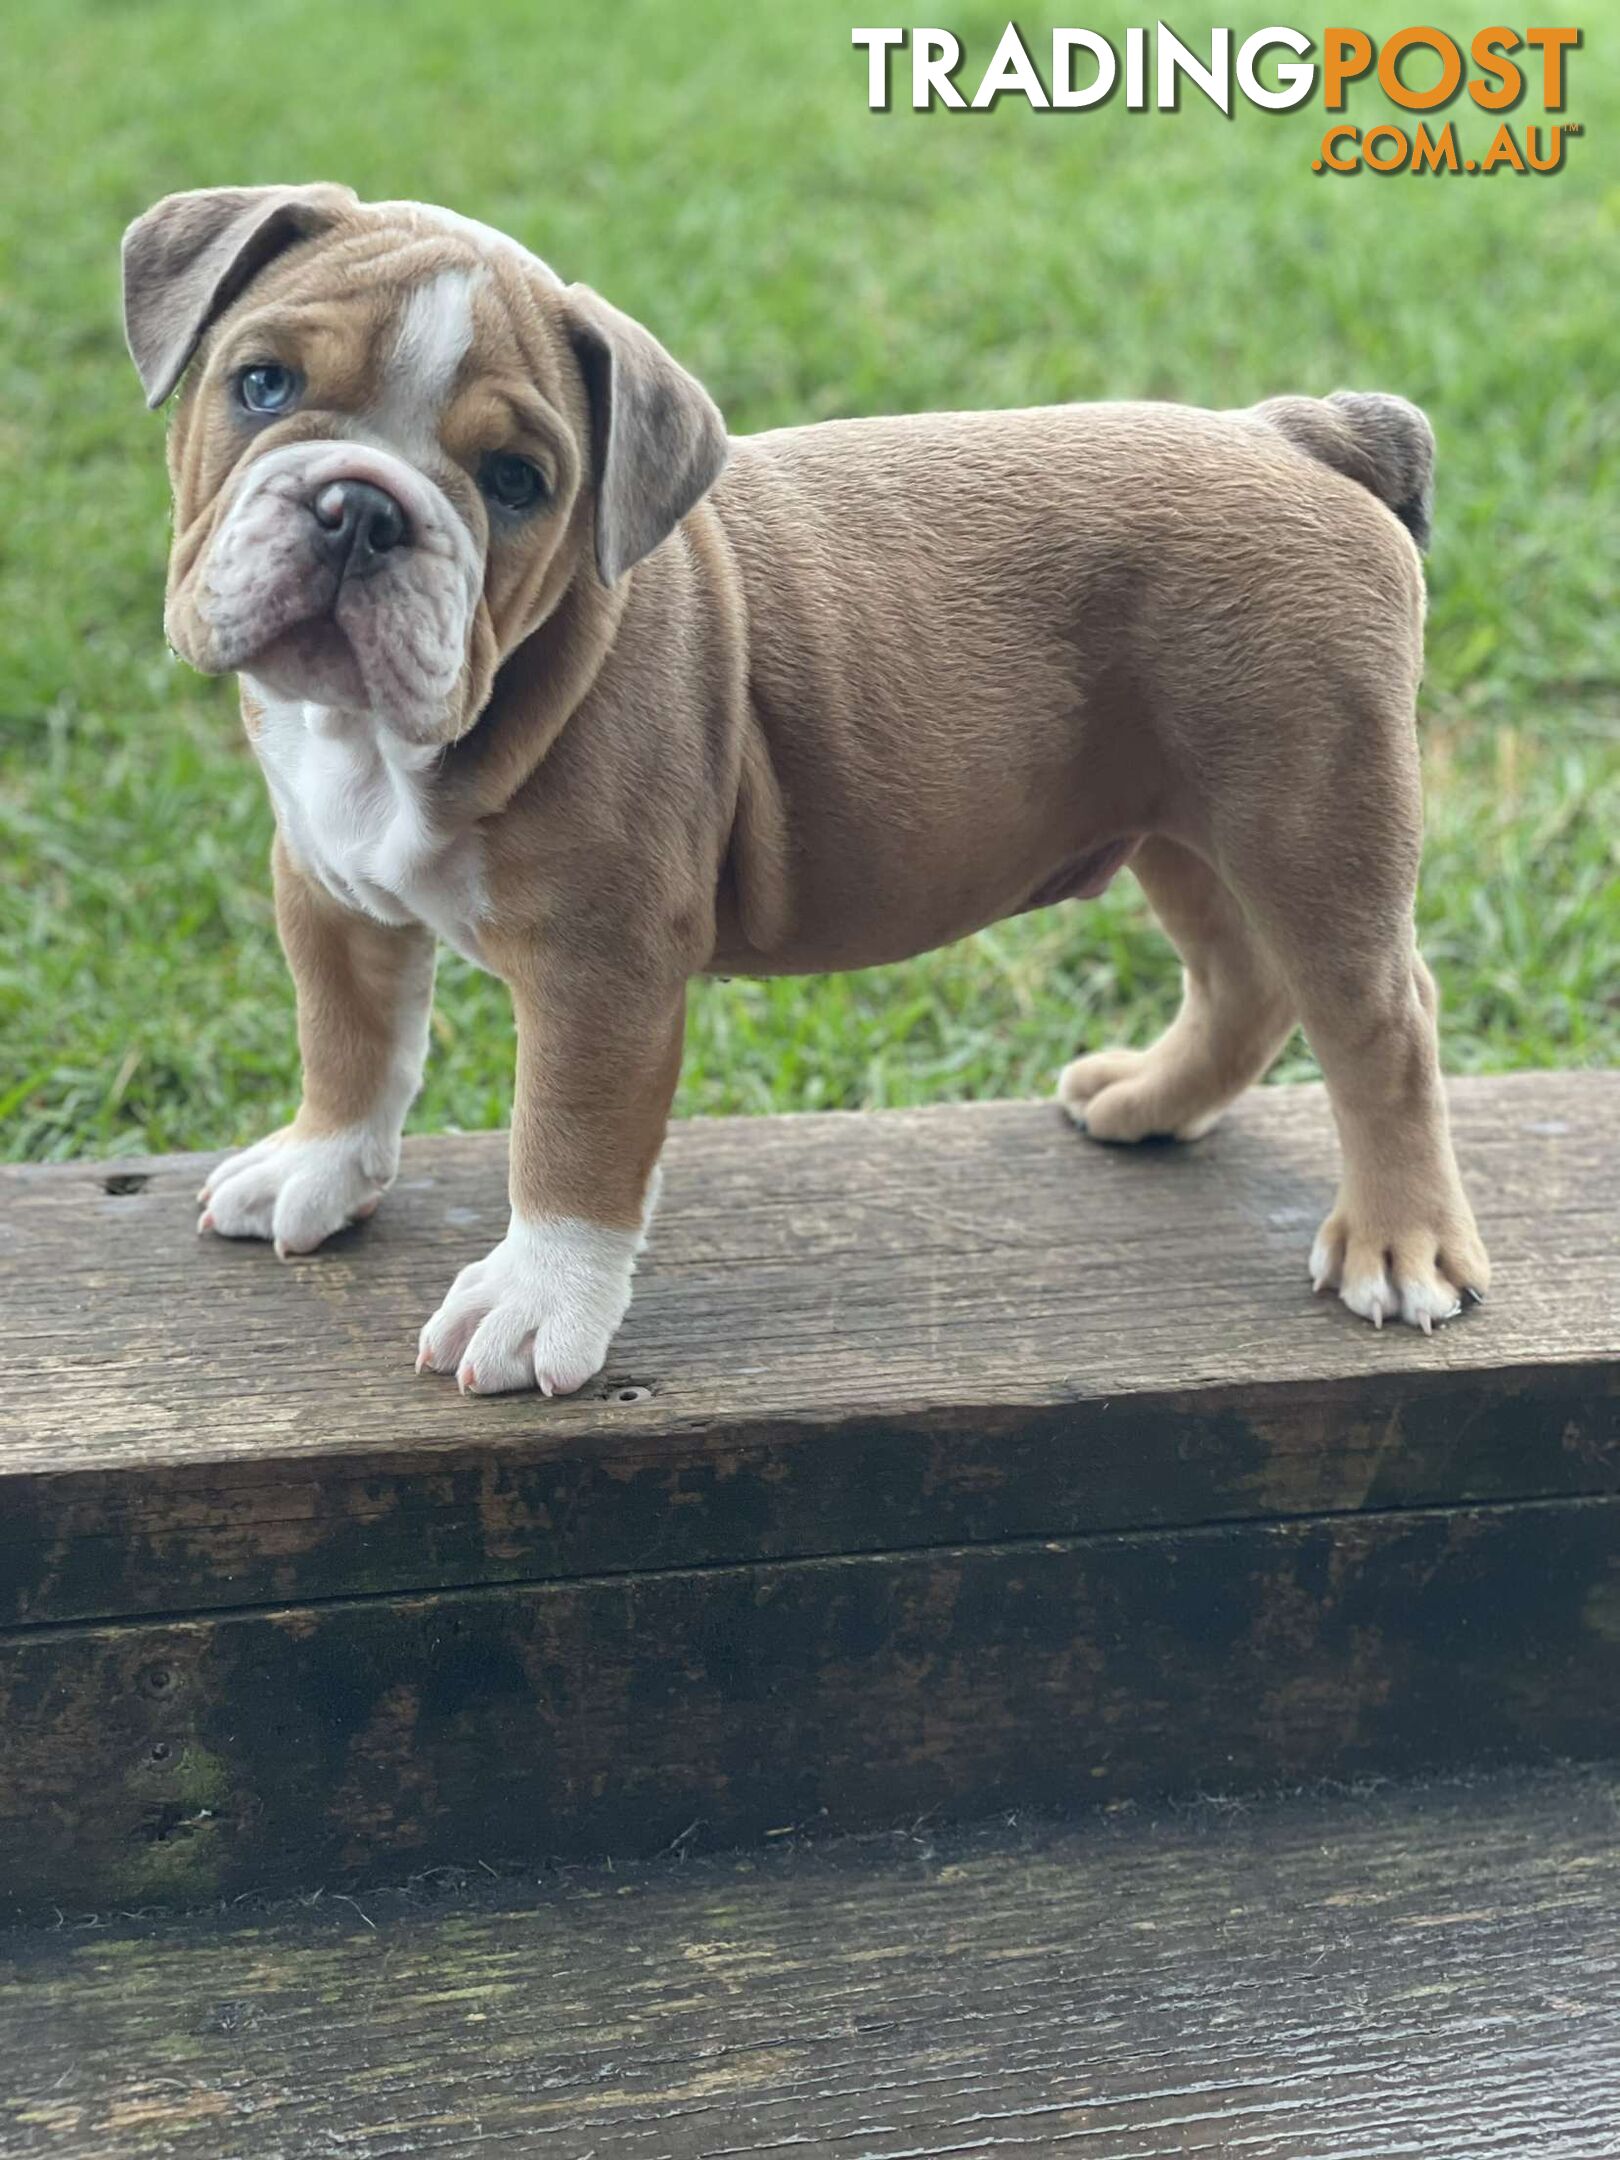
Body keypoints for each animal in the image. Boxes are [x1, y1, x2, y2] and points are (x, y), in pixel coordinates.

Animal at [123, 190, 1494, 1399]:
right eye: (262, 386)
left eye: (515, 482)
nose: (359, 508)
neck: (376, 741)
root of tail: (1299, 432)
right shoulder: (325, 888)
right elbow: (348, 1041)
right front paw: (316, 1167)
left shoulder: (600, 969)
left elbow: (566, 1141)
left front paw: (533, 1304)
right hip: (1182, 825)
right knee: (1243, 980)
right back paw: (1151, 1104)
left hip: (1309, 819)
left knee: (1382, 1022)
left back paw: (1400, 1244)